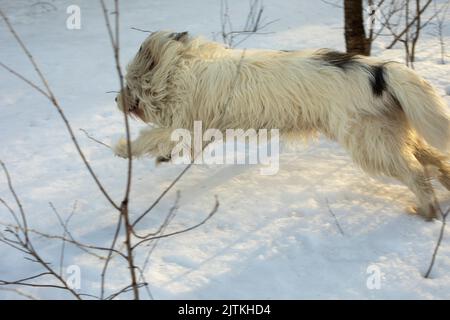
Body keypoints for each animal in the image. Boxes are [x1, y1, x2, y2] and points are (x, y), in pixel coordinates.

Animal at [115, 31, 450, 219]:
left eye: (129, 83)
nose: (117, 99)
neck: (179, 70)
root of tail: (379, 71)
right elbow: (165, 141)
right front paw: (159, 155)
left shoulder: (188, 122)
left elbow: (155, 137)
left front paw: (123, 148)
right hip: (389, 131)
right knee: (433, 157)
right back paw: (445, 186)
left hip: (369, 141)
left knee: (415, 171)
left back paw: (427, 210)